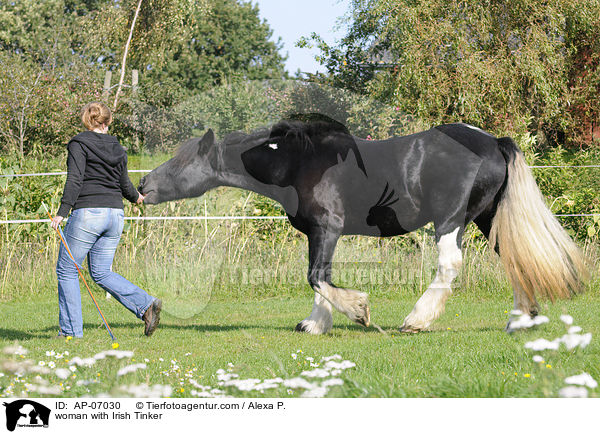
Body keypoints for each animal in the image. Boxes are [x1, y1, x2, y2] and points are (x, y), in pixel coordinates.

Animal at [141, 114, 584, 332]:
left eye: (180, 163)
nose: (143, 186)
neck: (299, 162)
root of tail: (493, 142)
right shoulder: (320, 233)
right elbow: (321, 277)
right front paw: (315, 324)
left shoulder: (328, 227)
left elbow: (317, 277)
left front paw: (358, 311)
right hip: (490, 218)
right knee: (514, 259)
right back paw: (521, 319)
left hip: (452, 219)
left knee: (450, 264)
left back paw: (416, 321)